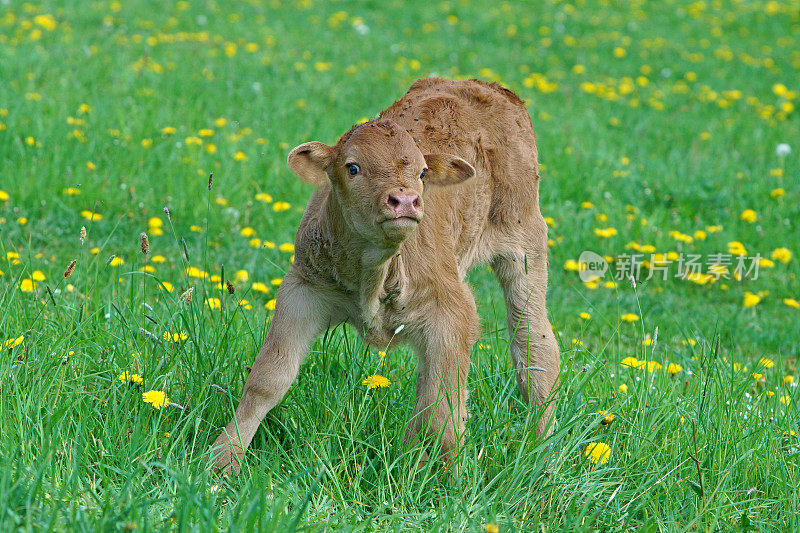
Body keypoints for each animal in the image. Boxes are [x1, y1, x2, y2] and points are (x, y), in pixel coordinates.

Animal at [212, 77, 564, 472]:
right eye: (352, 167)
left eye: (422, 172)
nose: (405, 200)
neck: (374, 270)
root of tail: (482, 85)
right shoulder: (303, 289)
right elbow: (268, 379)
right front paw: (222, 461)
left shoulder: (451, 313)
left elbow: (443, 412)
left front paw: (445, 481)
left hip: (525, 247)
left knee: (535, 352)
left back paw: (544, 458)